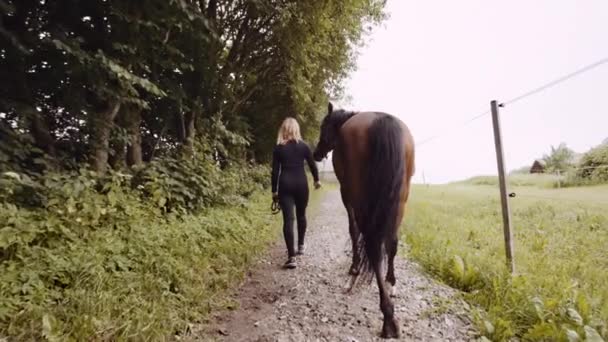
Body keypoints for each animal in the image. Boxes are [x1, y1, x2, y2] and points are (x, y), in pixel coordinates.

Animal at [312, 101, 416, 336]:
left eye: (323, 126)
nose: (316, 154)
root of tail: (383, 121)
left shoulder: (346, 193)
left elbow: (353, 230)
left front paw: (354, 267)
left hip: (360, 196)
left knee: (373, 246)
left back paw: (387, 316)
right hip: (401, 199)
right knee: (391, 243)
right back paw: (390, 283)